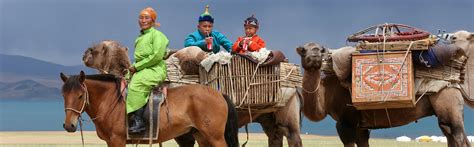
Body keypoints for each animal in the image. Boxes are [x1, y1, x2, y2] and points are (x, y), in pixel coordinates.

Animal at [60, 71, 237, 146]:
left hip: (215, 138)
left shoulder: (117, 141)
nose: (69, 125)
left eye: (80, 96)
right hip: (202, 136)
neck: (110, 100)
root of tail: (219, 94)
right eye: (63, 95)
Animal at [298, 41, 472, 147]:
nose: (314, 55)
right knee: (450, 132)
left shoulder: (346, 121)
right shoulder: (361, 126)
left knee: (457, 135)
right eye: (303, 51)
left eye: (319, 49)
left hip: (447, 99)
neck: (326, 95)